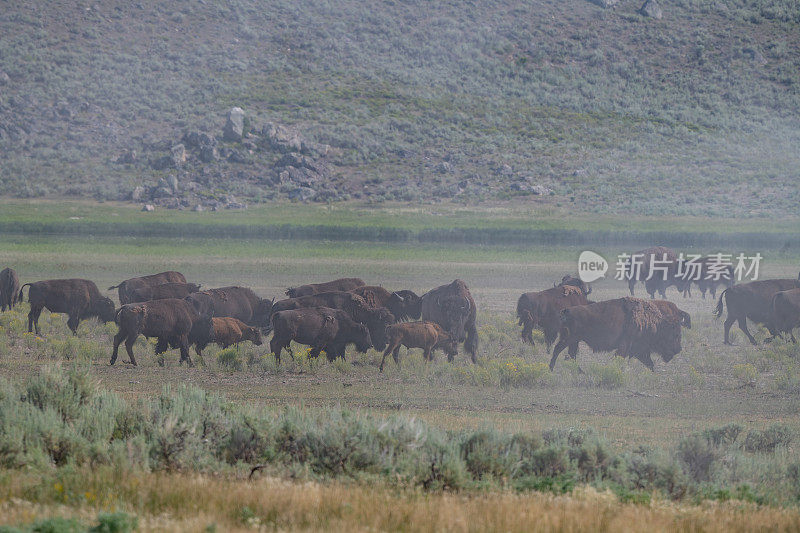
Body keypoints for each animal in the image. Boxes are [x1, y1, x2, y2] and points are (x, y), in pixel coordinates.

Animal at [552, 300, 688, 370]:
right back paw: (551, 368)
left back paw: (580, 372)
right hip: (570, 339)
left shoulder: (639, 350)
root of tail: (566, 311)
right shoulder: (626, 346)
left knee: (571, 354)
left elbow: (649, 363)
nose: (678, 349)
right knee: (558, 350)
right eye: (675, 334)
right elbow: (620, 358)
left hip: (574, 340)